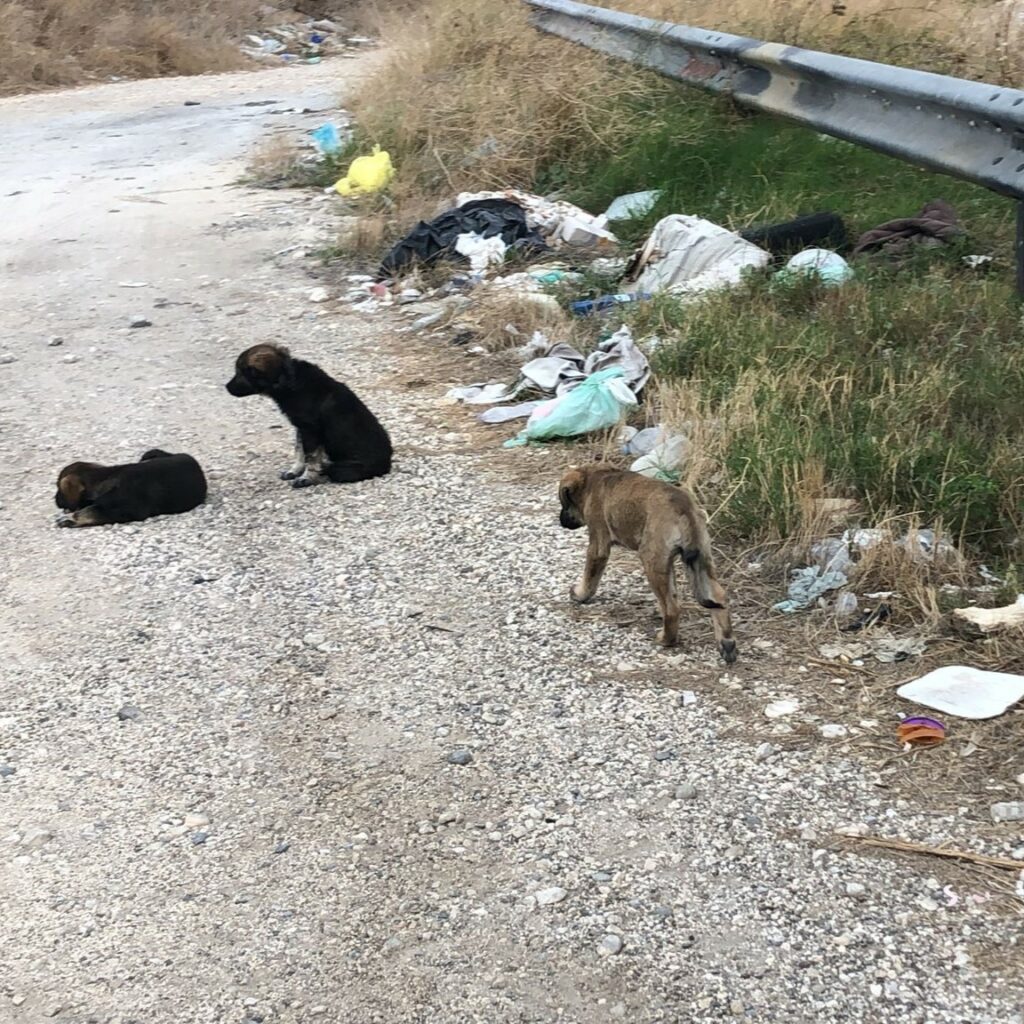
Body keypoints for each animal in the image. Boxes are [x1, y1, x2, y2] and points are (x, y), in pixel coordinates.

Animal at [57, 448, 208, 528]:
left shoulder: (125, 511)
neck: (105, 477)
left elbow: (90, 512)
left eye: (58, 487)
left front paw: (70, 518)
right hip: (150, 453)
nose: (56, 501)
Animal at [224, 344, 391, 487]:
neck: (288, 379)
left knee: (332, 470)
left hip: (345, 470)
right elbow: (299, 450)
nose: (226, 387)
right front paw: (294, 471)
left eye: (240, 372)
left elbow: (310, 457)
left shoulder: (310, 429)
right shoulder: (301, 427)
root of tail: (387, 464)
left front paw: (305, 478)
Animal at [561, 462, 737, 663]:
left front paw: (580, 594)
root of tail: (685, 510)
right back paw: (727, 643)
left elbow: (590, 575)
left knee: (671, 608)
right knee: (719, 596)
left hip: (651, 560)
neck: (594, 479)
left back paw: (666, 639)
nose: (561, 521)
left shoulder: (598, 544)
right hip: (700, 560)